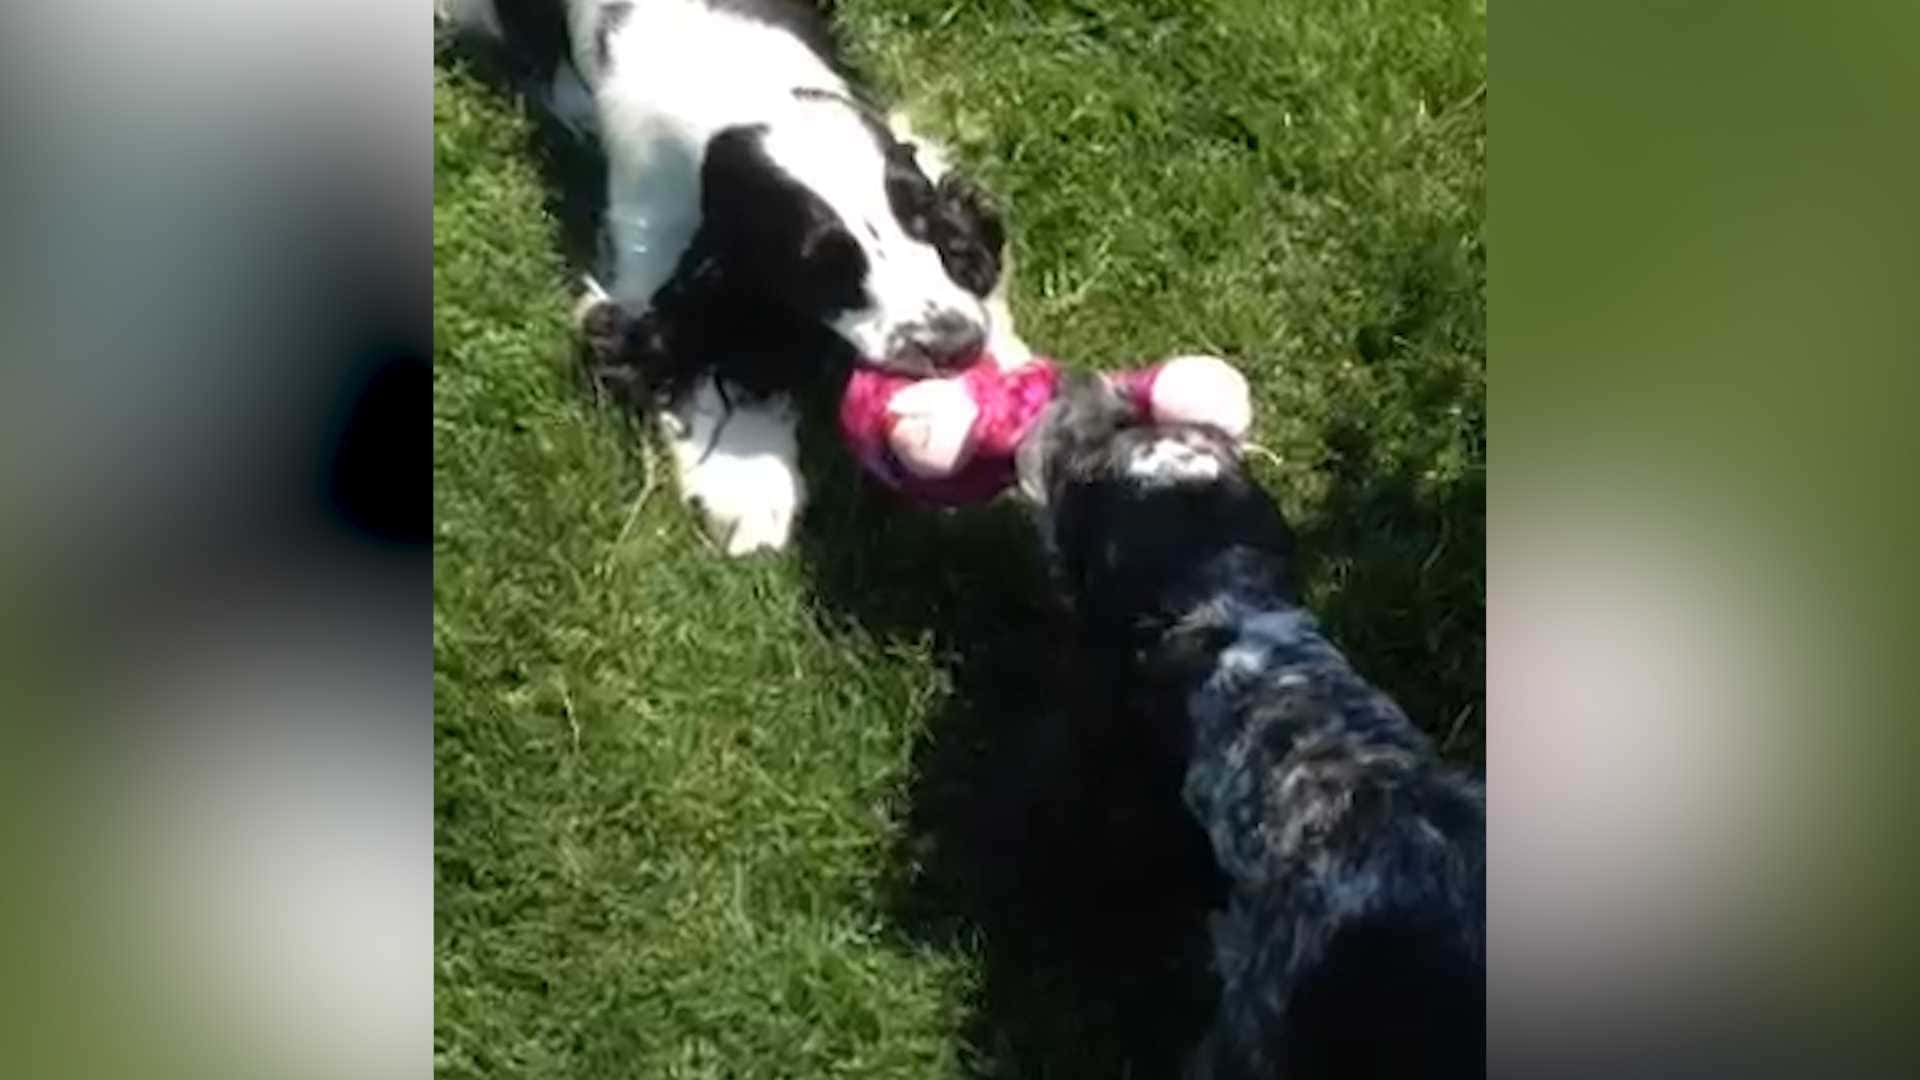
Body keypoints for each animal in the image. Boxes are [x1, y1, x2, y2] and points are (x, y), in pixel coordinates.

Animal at [443, 0, 1029, 549]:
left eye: (922, 222)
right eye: (823, 268)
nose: (957, 344)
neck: (741, 87)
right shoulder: (652, 245)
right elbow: (701, 353)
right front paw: (749, 487)